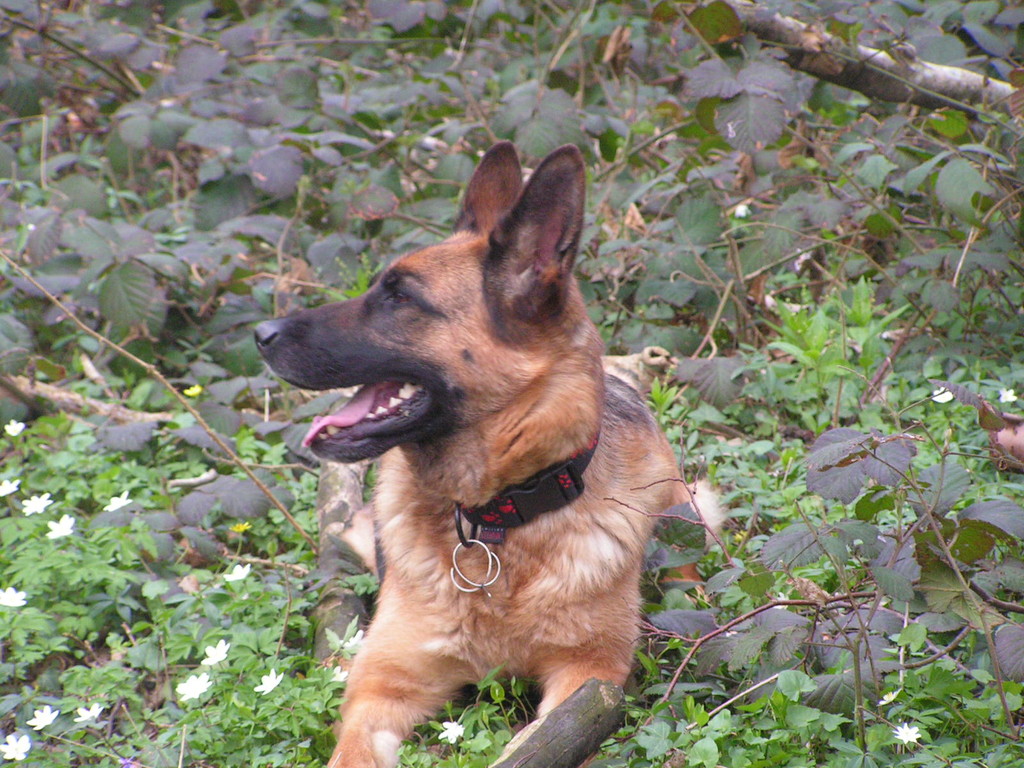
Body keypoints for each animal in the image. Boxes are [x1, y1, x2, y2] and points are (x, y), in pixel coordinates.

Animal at [253, 141, 720, 765]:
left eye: (400, 297)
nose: (261, 333)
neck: (496, 520)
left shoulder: (589, 675)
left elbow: (534, 742)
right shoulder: (380, 686)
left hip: (680, 515)